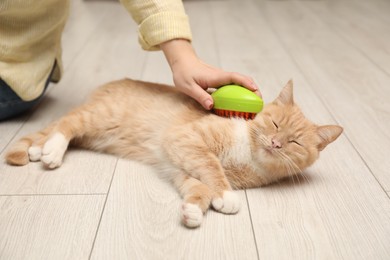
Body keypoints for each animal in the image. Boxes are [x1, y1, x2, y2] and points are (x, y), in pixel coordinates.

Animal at [4, 78, 342, 228]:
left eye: (294, 142)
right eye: (274, 124)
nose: (275, 143)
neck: (247, 154)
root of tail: (111, 83)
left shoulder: (178, 165)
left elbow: (198, 186)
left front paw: (194, 209)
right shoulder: (187, 141)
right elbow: (212, 169)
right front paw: (227, 197)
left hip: (97, 135)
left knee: (59, 129)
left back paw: (38, 149)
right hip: (99, 117)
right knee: (66, 124)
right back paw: (51, 150)